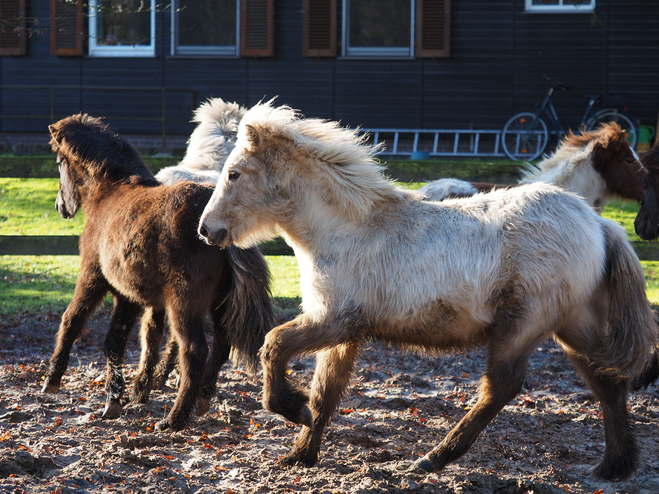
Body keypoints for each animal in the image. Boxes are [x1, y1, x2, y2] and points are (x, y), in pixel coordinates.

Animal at [42, 114, 276, 430]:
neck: (109, 193)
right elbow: (125, 339)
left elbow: (73, 320)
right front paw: (120, 398)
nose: (60, 207)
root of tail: (214, 229)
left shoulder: (93, 276)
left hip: (184, 303)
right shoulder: (129, 295)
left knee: (194, 350)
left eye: (59, 163)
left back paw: (174, 419)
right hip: (219, 301)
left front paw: (52, 381)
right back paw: (202, 400)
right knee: (222, 343)